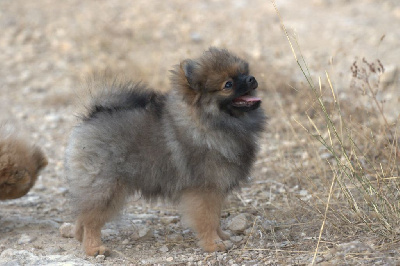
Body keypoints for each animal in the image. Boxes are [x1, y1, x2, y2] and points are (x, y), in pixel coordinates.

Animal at [65, 47, 266, 256]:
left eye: (244, 72)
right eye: (228, 84)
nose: (251, 78)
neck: (208, 124)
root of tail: (92, 115)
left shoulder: (215, 189)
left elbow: (216, 217)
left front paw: (222, 236)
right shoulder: (205, 189)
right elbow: (208, 219)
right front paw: (213, 244)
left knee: (82, 216)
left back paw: (80, 237)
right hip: (106, 186)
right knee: (91, 219)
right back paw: (93, 248)